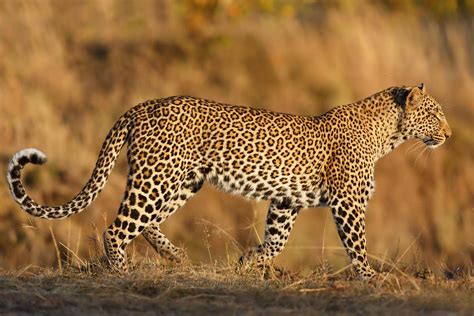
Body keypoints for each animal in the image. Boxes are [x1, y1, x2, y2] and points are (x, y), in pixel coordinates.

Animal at [7, 83, 452, 278]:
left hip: (182, 181)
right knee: (117, 228)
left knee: (146, 223)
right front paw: (371, 280)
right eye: (434, 114)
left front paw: (248, 262)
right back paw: (121, 270)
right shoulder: (348, 203)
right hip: (158, 177)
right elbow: (357, 246)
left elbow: (276, 241)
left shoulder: (286, 201)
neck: (388, 136)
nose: (448, 134)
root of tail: (143, 105)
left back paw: (176, 257)